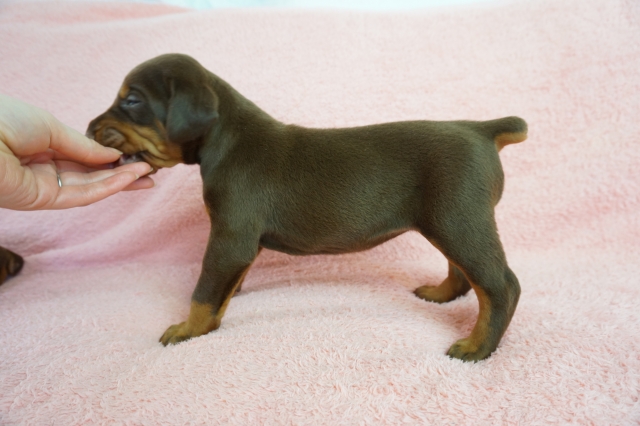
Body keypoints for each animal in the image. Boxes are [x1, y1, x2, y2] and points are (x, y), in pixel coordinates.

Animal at [86, 53, 526, 361]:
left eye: (132, 100)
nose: (89, 129)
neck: (224, 138)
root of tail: (481, 129)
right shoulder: (238, 244)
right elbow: (224, 287)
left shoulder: (230, 238)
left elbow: (204, 292)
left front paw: (188, 330)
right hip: (451, 221)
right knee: (464, 271)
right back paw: (442, 294)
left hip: (458, 220)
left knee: (500, 286)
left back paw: (476, 348)